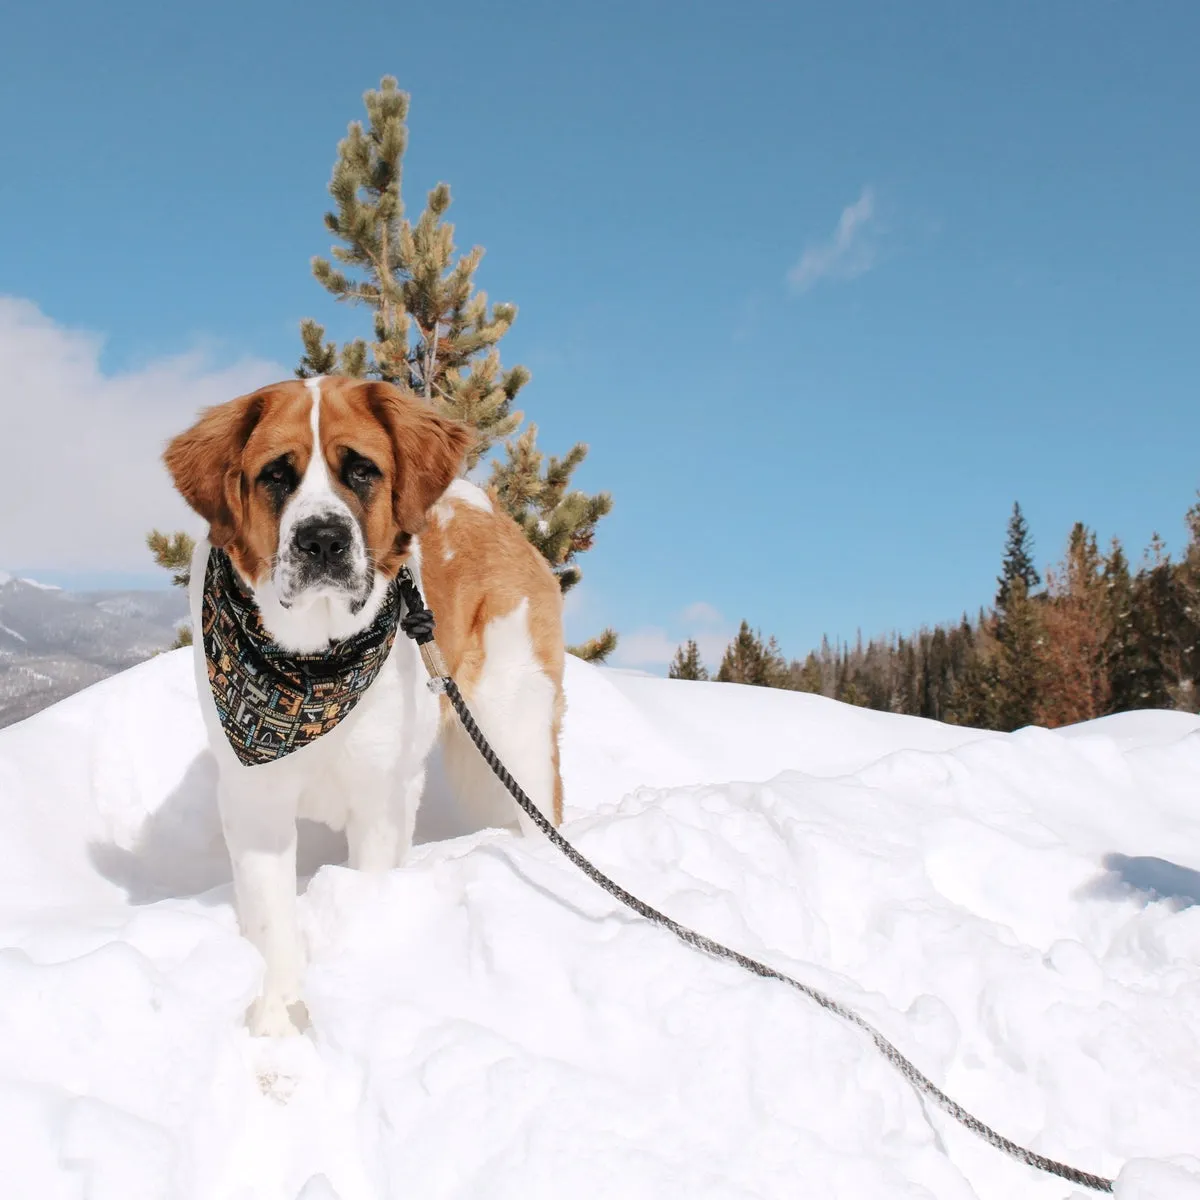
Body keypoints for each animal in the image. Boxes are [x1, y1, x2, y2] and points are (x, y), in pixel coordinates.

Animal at [163, 374, 566, 1032]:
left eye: (360, 470)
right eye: (277, 474)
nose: (322, 538)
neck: (311, 671)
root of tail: (486, 506)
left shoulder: (383, 796)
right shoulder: (254, 801)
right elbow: (272, 921)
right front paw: (278, 1026)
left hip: (512, 730)